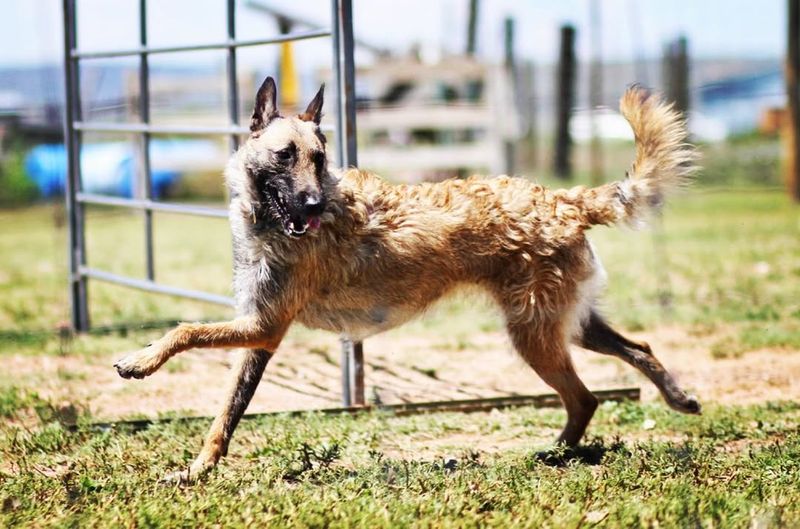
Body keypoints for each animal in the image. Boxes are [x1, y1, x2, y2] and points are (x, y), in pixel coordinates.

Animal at [114, 75, 700, 482]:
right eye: (285, 155)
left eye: (319, 158)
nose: (314, 205)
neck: (271, 222)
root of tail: (561, 199)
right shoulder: (259, 334)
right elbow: (225, 416)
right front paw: (197, 471)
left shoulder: (264, 326)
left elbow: (186, 330)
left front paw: (142, 360)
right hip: (564, 324)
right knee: (634, 352)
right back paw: (674, 402)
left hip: (534, 334)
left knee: (585, 396)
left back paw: (555, 453)